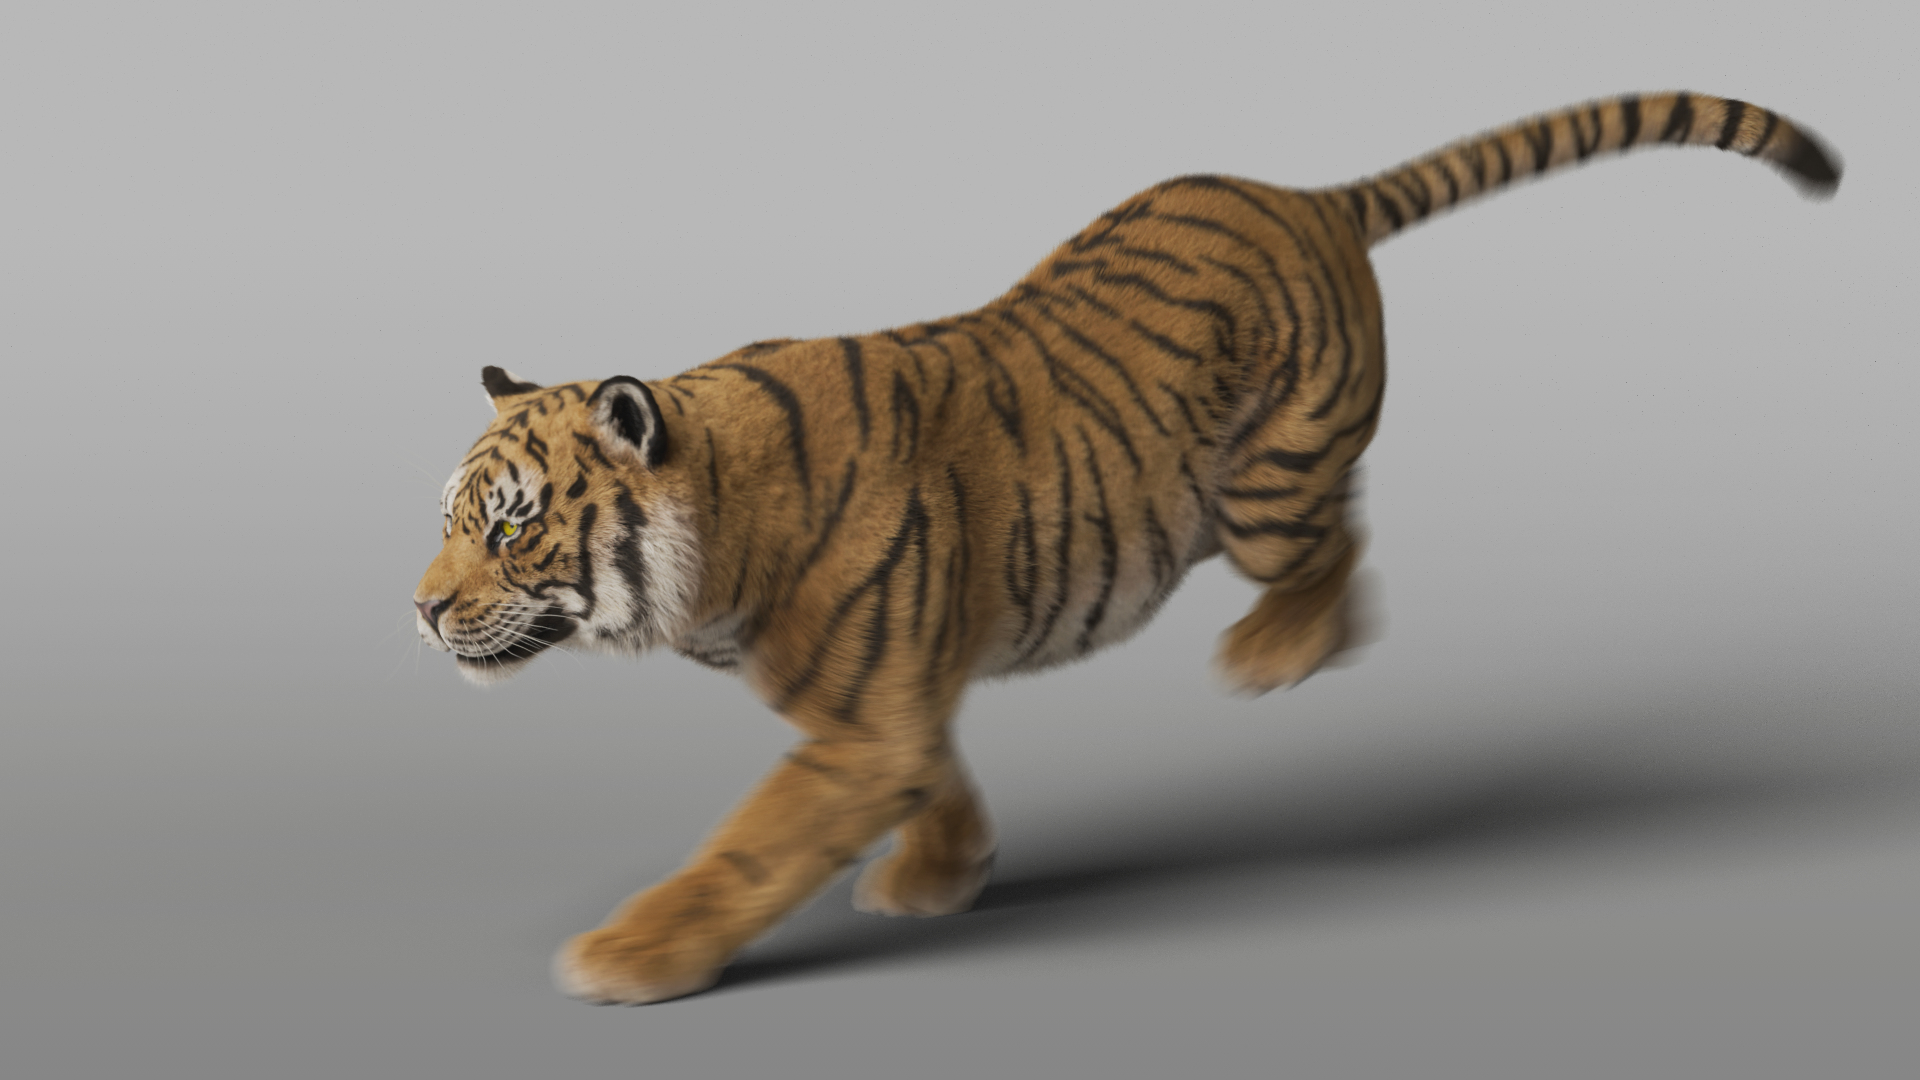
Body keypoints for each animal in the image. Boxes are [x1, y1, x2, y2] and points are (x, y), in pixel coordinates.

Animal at [412, 91, 1839, 1005]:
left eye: (511, 522)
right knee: (1359, 538)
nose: (420, 611)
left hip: (1264, 484)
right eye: (447, 517)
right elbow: (940, 779)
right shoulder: (896, 705)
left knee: (1333, 549)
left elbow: (748, 848)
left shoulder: (862, 723)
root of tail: (1308, 196)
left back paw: (1275, 653)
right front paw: (944, 875)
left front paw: (626, 956)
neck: (716, 546)